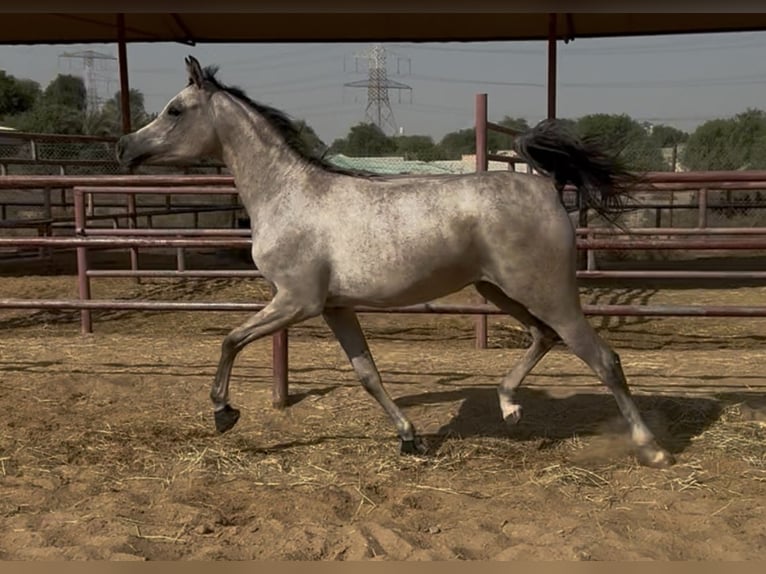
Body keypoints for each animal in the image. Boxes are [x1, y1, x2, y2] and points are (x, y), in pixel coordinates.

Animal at [116, 56, 674, 468]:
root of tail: (547, 187)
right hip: (497, 290)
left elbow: (231, 339)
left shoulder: (296, 301)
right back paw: (509, 406)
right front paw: (410, 438)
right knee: (544, 338)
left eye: (175, 110)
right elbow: (368, 373)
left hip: (549, 293)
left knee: (603, 358)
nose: (123, 147)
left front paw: (223, 412)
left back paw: (652, 448)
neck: (287, 195)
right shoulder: (334, 307)